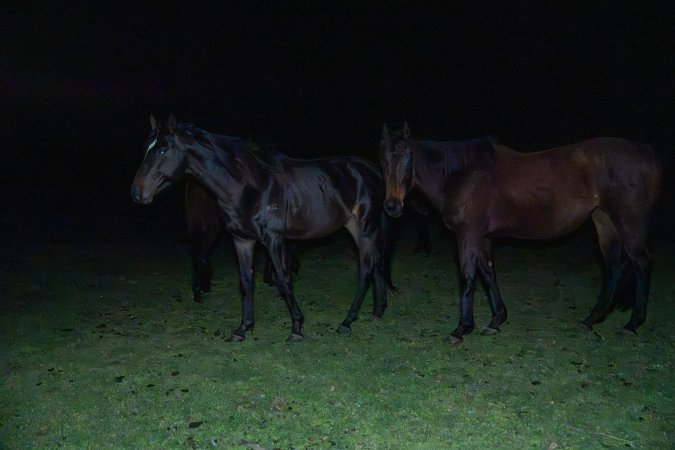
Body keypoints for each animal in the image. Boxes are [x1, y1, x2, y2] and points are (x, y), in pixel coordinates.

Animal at [132, 115, 391, 341]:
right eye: (146, 148)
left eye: (163, 149)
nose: (137, 193)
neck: (248, 187)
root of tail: (373, 170)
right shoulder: (242, 240)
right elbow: (246, 281)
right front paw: (242, 328)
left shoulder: (274, 239)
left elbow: (283, 279)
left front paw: (296, 327)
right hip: (355, 226)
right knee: (376, 262)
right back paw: (378, 310)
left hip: (366, 226)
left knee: (366, 268)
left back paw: (347, 321)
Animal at [379, 123, 661, 343]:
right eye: (384, 160)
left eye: (408, 157)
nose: (392, 206)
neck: (461, 173)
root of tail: (648, 155)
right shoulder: (483, 237)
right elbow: (487, 272)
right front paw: (496, 320)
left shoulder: (467, 234)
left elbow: (468, 276)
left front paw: (461, 329)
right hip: (604, 220)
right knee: (616, 265)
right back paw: (591, 320)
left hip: (628, 222)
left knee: (641, 262)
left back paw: (632, 324)